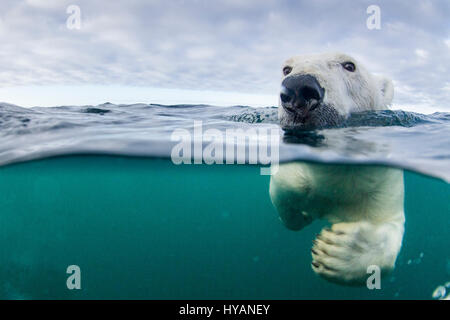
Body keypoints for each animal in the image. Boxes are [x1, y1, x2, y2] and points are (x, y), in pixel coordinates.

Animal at [268, 52, 402, 284]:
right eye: (286, 69)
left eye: (349, 65)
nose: (298, 88)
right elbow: (285, 184)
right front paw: (302, 212)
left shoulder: (384, 181)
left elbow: (389, 224)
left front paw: (336, 251)